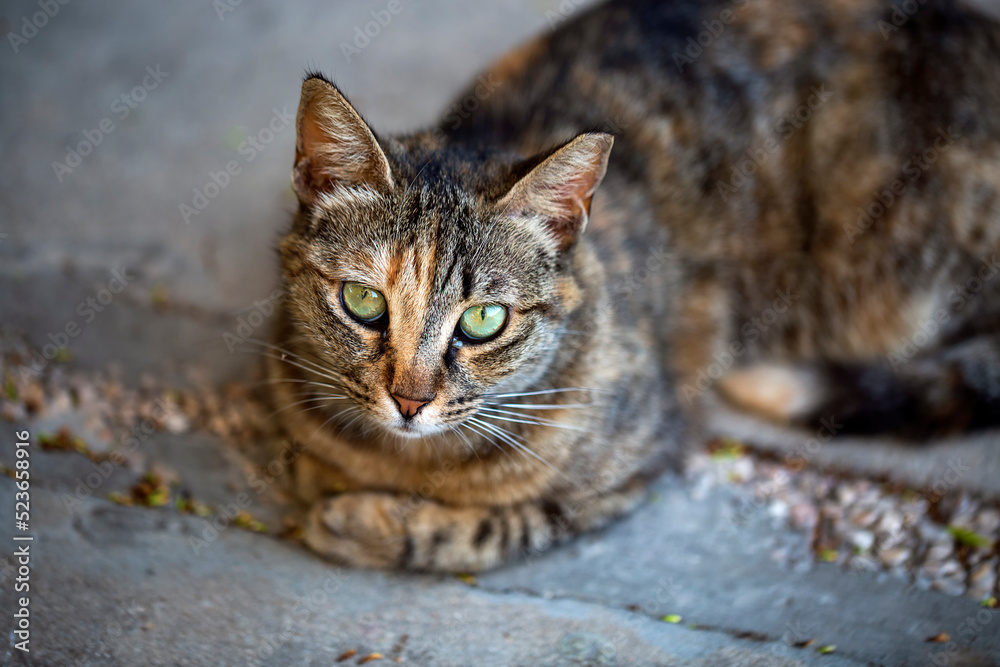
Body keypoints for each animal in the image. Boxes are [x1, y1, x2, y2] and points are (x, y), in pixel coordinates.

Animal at [266, 1, 1000, 576]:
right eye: (364, 302)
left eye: (484, 320)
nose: (410, 402)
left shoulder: (643, 456)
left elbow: (499, 525)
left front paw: (363, 521)